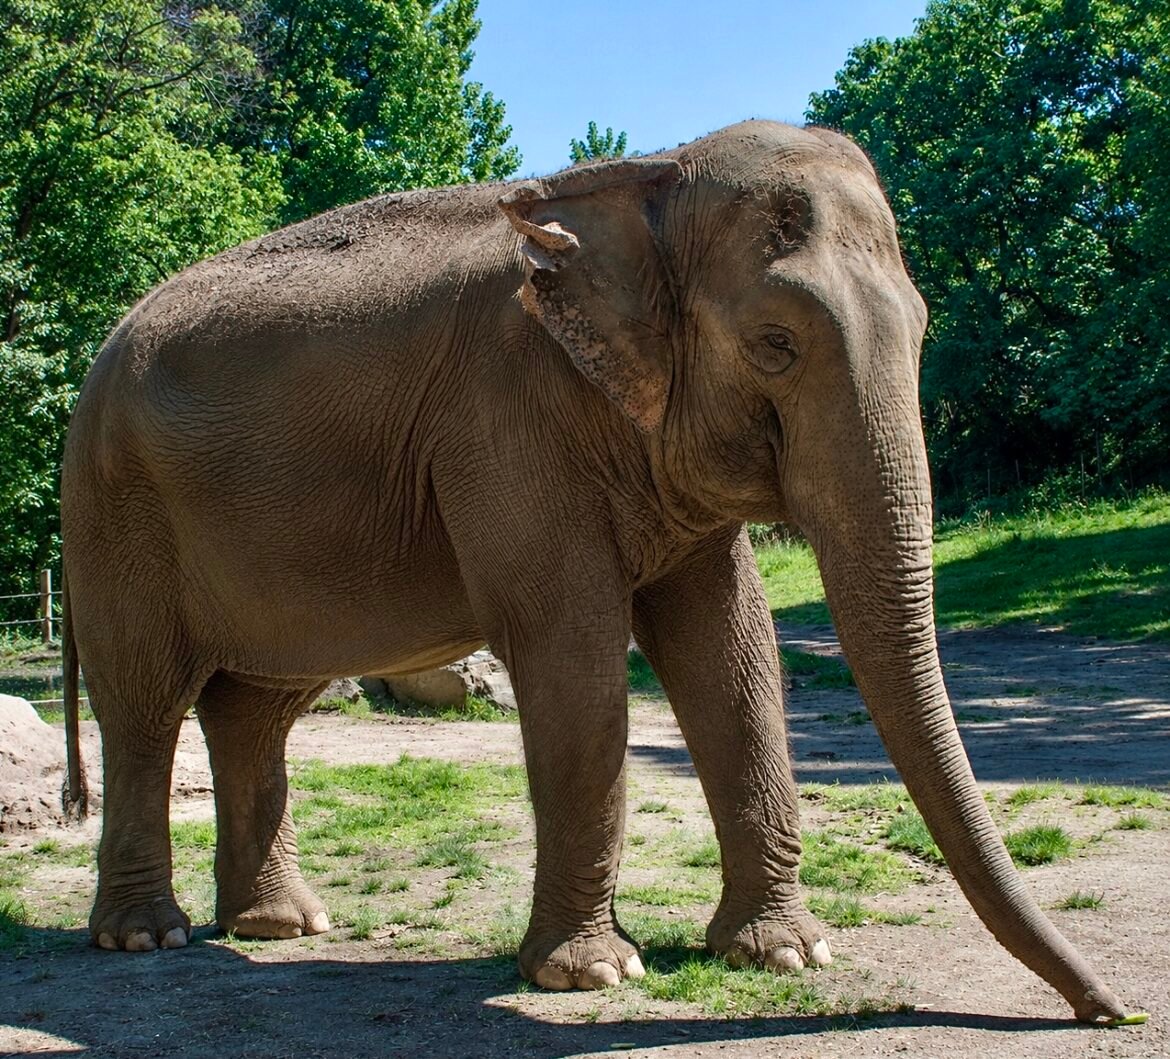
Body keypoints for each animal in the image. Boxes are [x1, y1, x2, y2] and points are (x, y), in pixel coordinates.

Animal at [59, 119, 1132, 1021]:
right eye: (775, 345)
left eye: (920, 328)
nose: (1109, 1010)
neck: (646, 176)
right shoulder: (504, 422)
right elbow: (572, 649)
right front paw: (596, 974)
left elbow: (731, 645)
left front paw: (786, 954)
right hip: (116, 513)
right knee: (147, 704)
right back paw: (148, 938)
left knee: (258, 706)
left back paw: (282, 926)